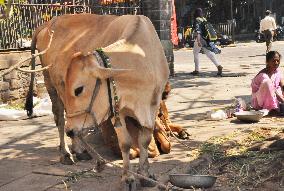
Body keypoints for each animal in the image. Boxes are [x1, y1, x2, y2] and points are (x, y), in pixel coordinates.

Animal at [25, 13, 169, 190]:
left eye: (78, 89)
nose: (70, 131)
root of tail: (48, 23)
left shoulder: (152, 105)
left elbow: (145, 140)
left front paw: (145, 174)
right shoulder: (115, 108)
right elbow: (125, 143)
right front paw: (127, 178)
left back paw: (79, 149)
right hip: (50, 84)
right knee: (60, 118)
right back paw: (66, 153)